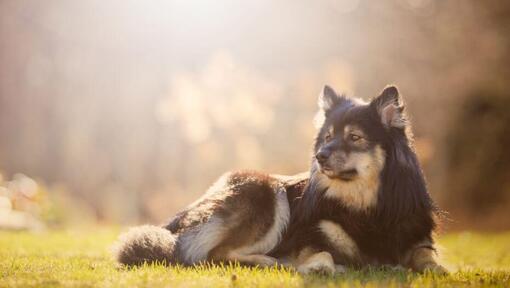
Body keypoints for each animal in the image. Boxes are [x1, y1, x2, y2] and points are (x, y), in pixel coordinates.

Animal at [112, 84, 446, 274]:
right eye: (328, 137)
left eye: (354, 137)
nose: (320, 156)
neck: (368, 207)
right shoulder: (308, 235)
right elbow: (321, 249)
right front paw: (320, 266)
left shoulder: (418, 237)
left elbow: (425, 255)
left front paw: (437, 268)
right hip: (263, 190)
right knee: (212, 255)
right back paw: (267, 261)